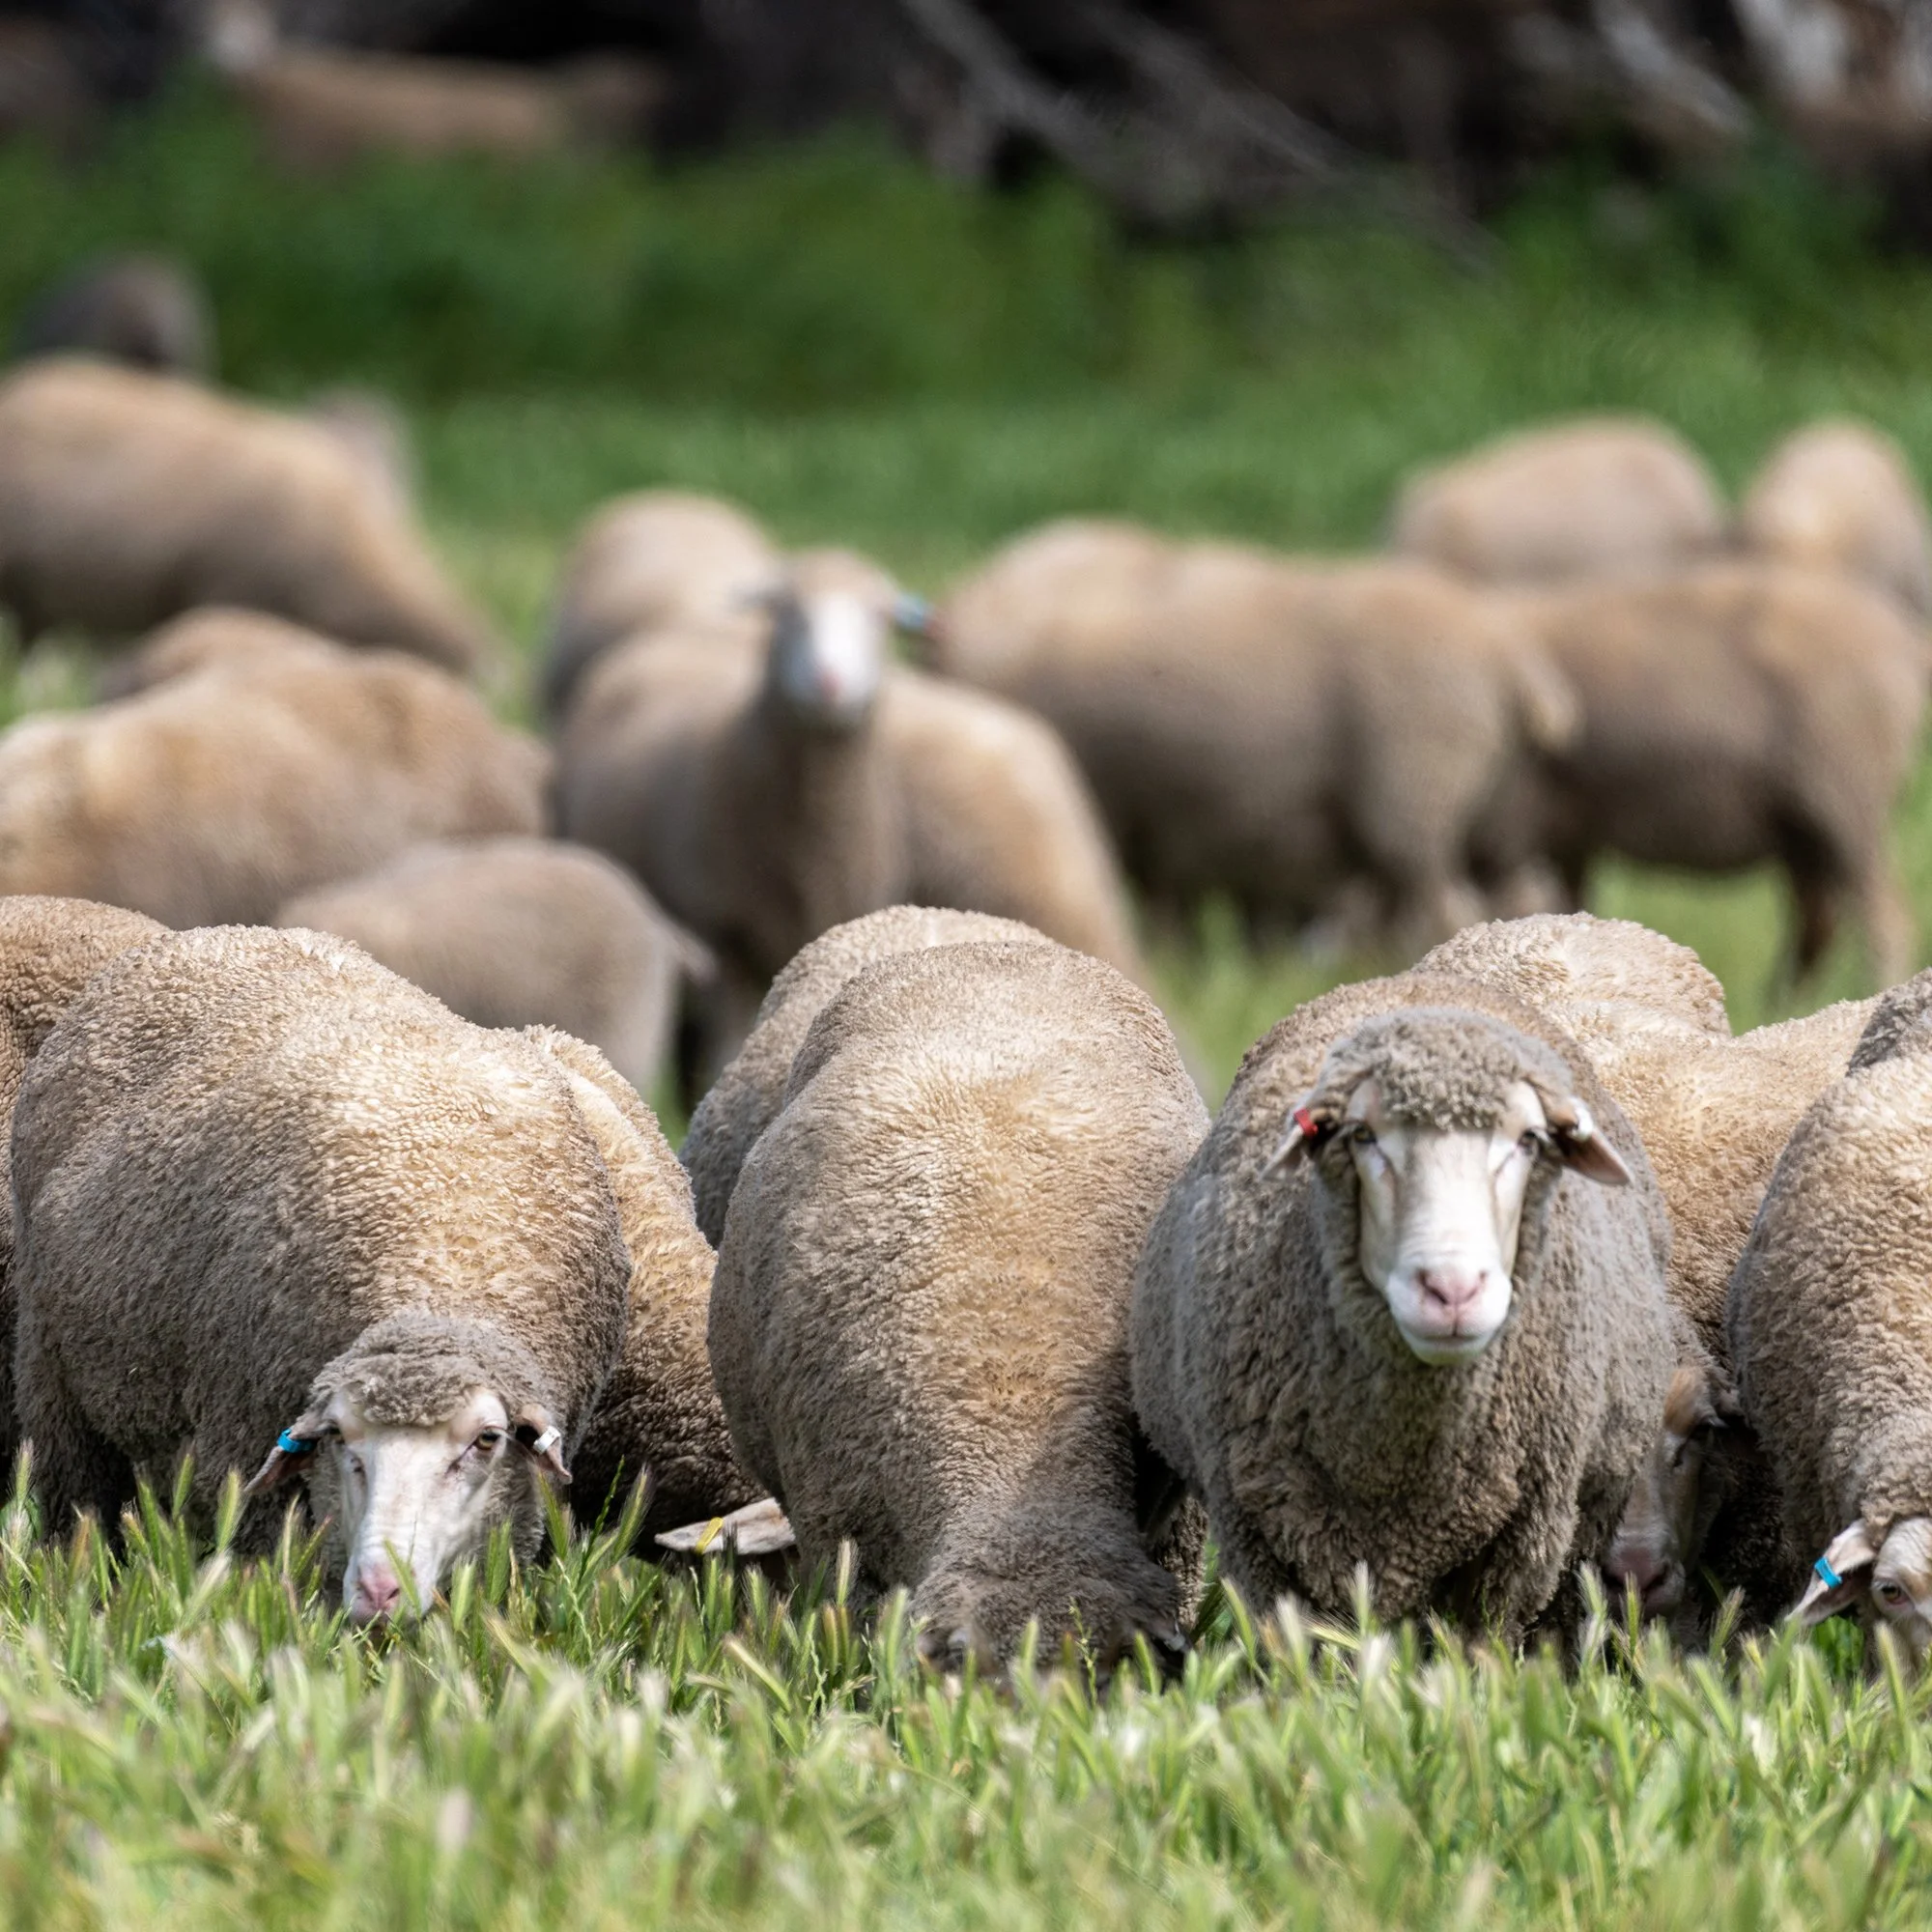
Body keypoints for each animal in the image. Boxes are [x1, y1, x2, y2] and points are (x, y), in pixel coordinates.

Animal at [9, 926, 634, 1621]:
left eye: (486, 1441)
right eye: (340, 1438)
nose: (379, 1590)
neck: (438, 1281)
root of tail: (224, 935)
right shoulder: (244, 1454)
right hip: (57, 1386)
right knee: (80, 1513)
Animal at [935, 526, 1575, 947]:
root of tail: (1507, 661)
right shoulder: (1154, 818)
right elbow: (1167, 906)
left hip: (1416, 786)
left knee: (1442, 900)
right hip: (1483, 808)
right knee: (1482, 895)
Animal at [1132, 968, 1677, 1640]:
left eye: (1528, 1140)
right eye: (1363, 1136)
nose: (1452, 1289)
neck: (1401, 1464)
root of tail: (1415, 980)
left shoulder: (1518, 1545)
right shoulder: (1257, 1526)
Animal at [1505, 562, 1928, 985]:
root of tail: (1907, 641)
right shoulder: (1567, 840)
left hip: (1842, 801)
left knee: (1880, 918)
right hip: (1809, 828)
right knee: (1818, 925)